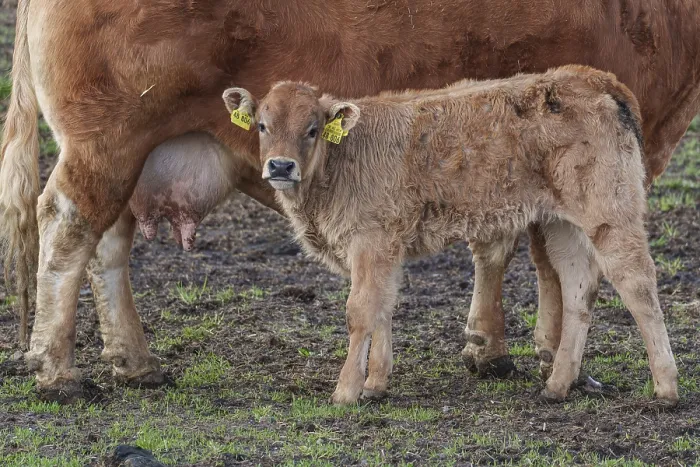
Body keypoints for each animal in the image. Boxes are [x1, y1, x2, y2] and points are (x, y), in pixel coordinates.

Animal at [221, 67, 680, 405]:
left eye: (313, 128)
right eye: (261, 125)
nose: (281, 166)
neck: (345, 156)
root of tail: (594, 78)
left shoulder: (370, 241)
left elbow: (360, 310)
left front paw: (346, 391)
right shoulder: (386, 247)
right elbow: (384, 305)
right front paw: (375, 385)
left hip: (610, 210)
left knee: (637, 283)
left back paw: (666, 388)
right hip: (561, 223)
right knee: (578, 288)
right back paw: (557, 385)